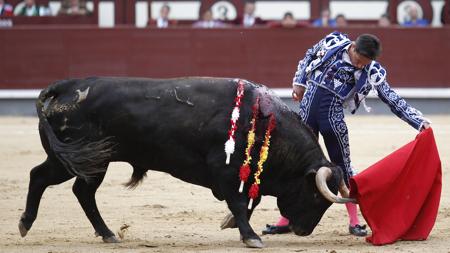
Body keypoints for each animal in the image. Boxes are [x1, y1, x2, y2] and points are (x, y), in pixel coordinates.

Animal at [20, 76, 352, 247]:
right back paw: (28, 224)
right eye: (315, 196)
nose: (304, 230)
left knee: (67, 186)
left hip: (86, 160)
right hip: (80, 158)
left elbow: (248, 201)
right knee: (50, 180)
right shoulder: (225, 171)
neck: (265, 124)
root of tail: (64, 86)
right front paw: (250, 236)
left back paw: (106, 234)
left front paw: (234, 225)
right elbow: (239, 203)